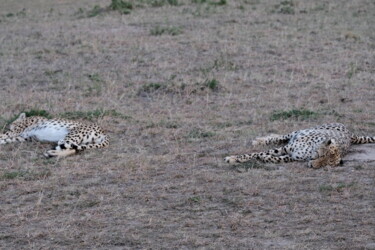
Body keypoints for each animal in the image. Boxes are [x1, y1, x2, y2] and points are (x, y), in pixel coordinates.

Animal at [225, 123, 374, 169]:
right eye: (323, 156)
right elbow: (256, 153)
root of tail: (351, 134)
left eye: (326, 164)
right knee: (280, 137)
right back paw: (259, 141)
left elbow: (271, 157)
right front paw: (232, 158)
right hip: (302, 131)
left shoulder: (290, 157)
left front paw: (264, 159)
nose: (313, 166)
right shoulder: (286, 148)